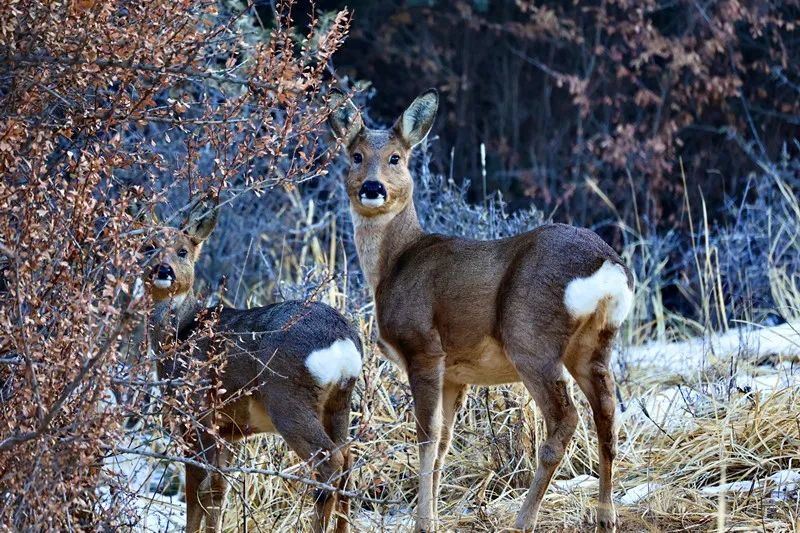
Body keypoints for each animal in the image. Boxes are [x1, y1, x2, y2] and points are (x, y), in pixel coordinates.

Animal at [147, 195, 362, 532]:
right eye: (149, 246)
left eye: (183, 250)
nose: (163, 269)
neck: (181, 334)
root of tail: (342, 342)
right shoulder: (227, 430)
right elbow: (217, 492)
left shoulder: (196, 415)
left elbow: (196, 493)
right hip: (340, 402)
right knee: (348, 461)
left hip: (288, 400)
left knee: (329, 463)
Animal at [328, 89, 636, 528]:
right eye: (355, 155)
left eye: (396, 157)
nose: (373, 187)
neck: (394, 263)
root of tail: (607, 265)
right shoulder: (456, 373)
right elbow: (443, 441)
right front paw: (434, 517)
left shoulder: (423, 348)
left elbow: (425, 437)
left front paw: (423, 522)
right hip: (595, 344)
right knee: (607, 415)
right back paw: (605, 516)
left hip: (531, 339)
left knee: (565, 420)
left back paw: (523, 520)